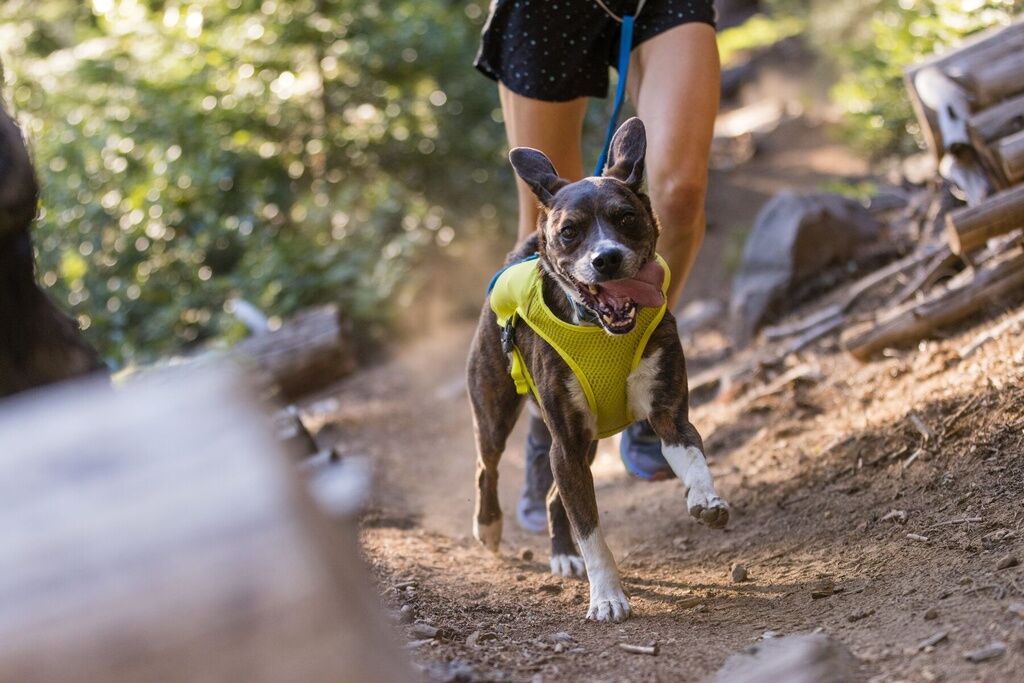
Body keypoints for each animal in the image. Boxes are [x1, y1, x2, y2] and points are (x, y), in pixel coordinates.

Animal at [464, 118, 729, 626]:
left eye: (624, 217)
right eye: (570, 231)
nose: (605, 258)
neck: (603, 331)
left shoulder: (668, 415)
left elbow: (692, 457)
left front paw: (705, 498)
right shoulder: (565, 444)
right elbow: (592, 533)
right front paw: (606, 596)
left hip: (585, 442)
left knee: (552, 497)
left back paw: (562, 554)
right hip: (496, 408)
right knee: (488, 466)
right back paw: (489, 526)